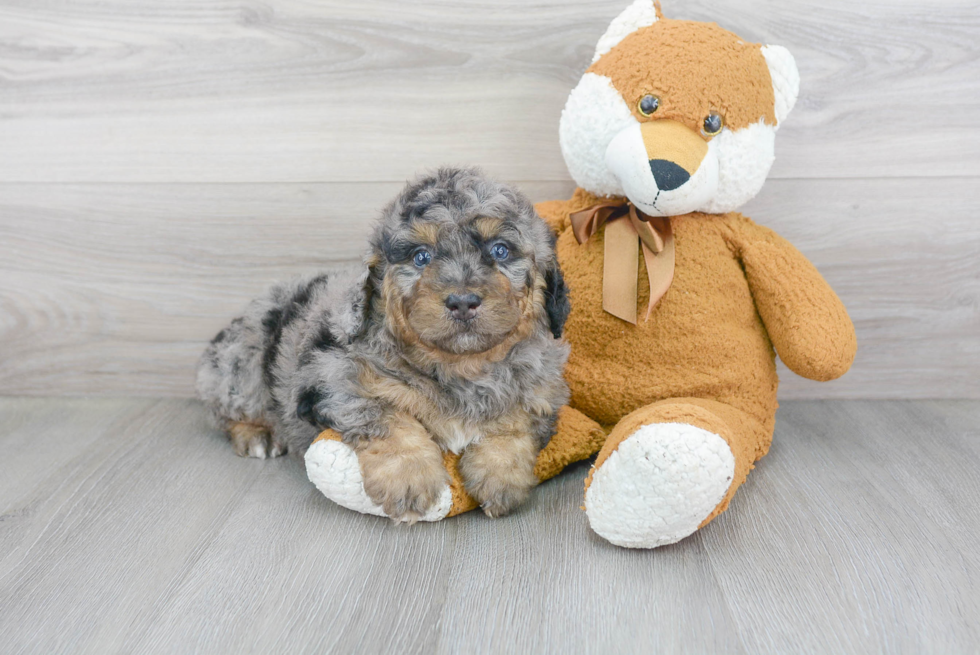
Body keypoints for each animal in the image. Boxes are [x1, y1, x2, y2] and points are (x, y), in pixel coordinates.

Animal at [195, 169, 572, 524]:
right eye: (421, 257)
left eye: (500, 250)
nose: (463, 302)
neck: (461, 367)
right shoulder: (331, 378)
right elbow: (386, 415)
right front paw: (410, 480)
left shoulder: (543, 390)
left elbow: (515, 420)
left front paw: (500, 477)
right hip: (241, 362)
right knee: (225, 409)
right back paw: (257, 435)